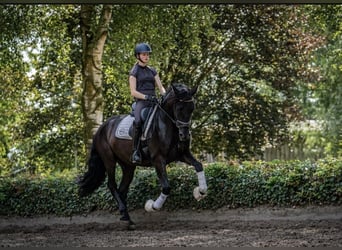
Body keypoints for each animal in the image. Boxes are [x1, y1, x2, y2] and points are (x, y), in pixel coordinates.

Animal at [79, 83, 207, 229]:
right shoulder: (158, 160)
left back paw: (126, 217)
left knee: (122, 189)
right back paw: (126, 216)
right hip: (109, 160)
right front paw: (152, 206)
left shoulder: (182, 154)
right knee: (112, 185)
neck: (167, 125)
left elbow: (199, 165)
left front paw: (200, 192)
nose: (185, 136)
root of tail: (102, 127)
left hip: (128, 166)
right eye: (179, 108)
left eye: (192, 108)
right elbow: (166, 187)